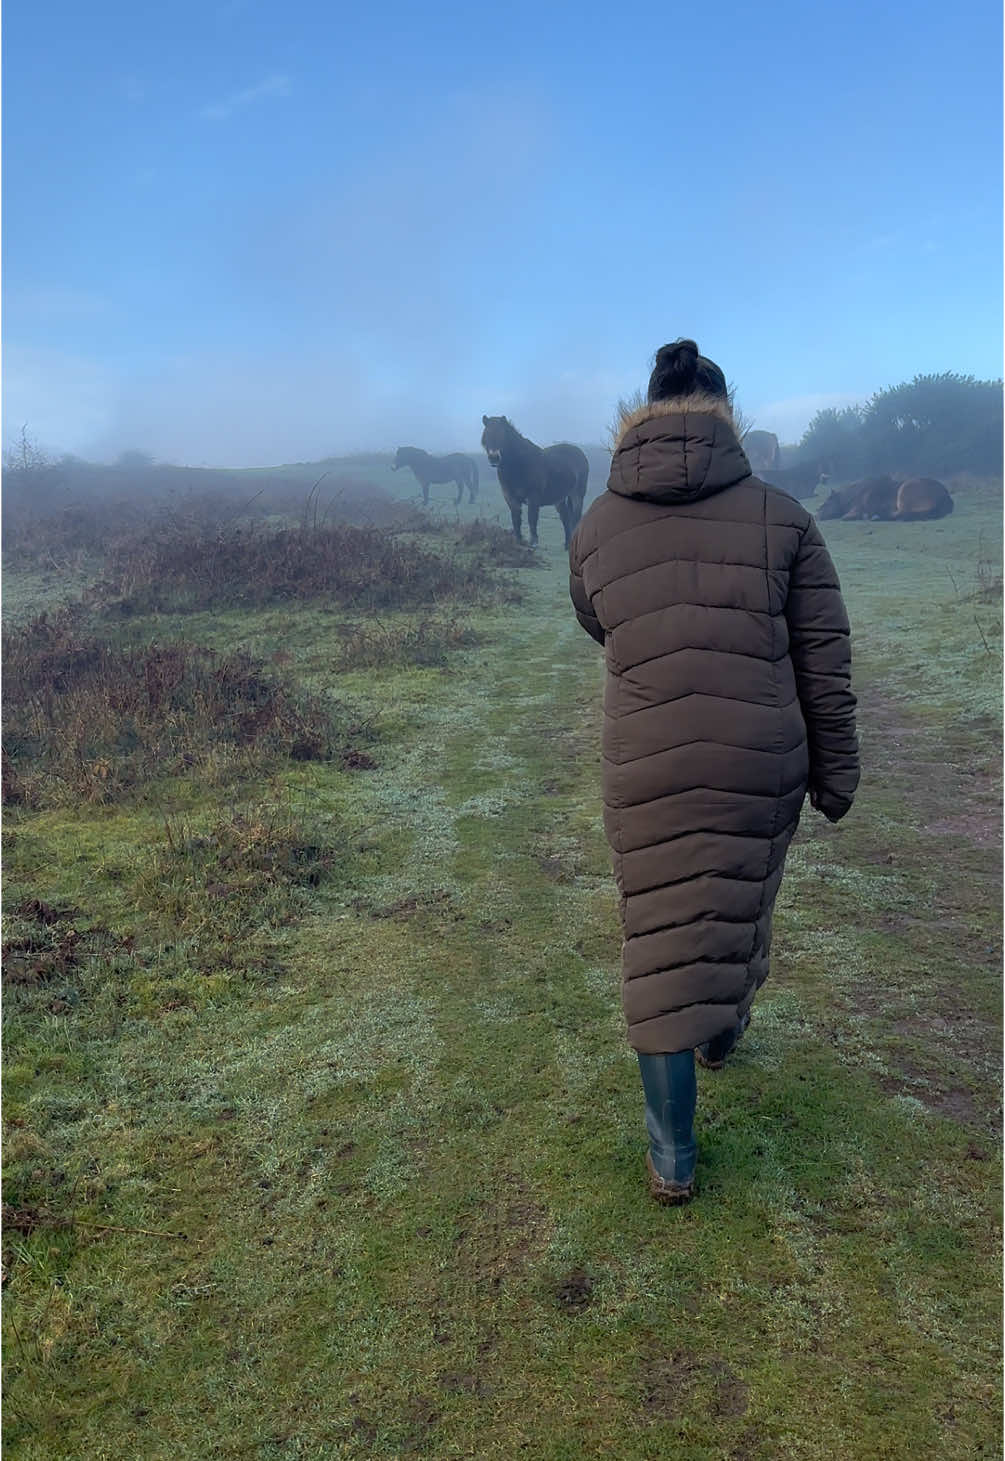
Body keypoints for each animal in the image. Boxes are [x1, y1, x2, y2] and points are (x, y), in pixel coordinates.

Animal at [479, 417, 590, 549]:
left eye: (502, 435)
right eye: (486, 435)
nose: (494, 457)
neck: (519, 465)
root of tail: (579, 453)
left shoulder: (533, 497)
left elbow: (532, 518)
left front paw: (533, 543)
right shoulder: (510, 498)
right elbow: (516, 519)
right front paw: (518, 541)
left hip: (577, 494)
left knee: (575, 517)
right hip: (559, 499)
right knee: (565, 518)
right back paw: (568, 544)